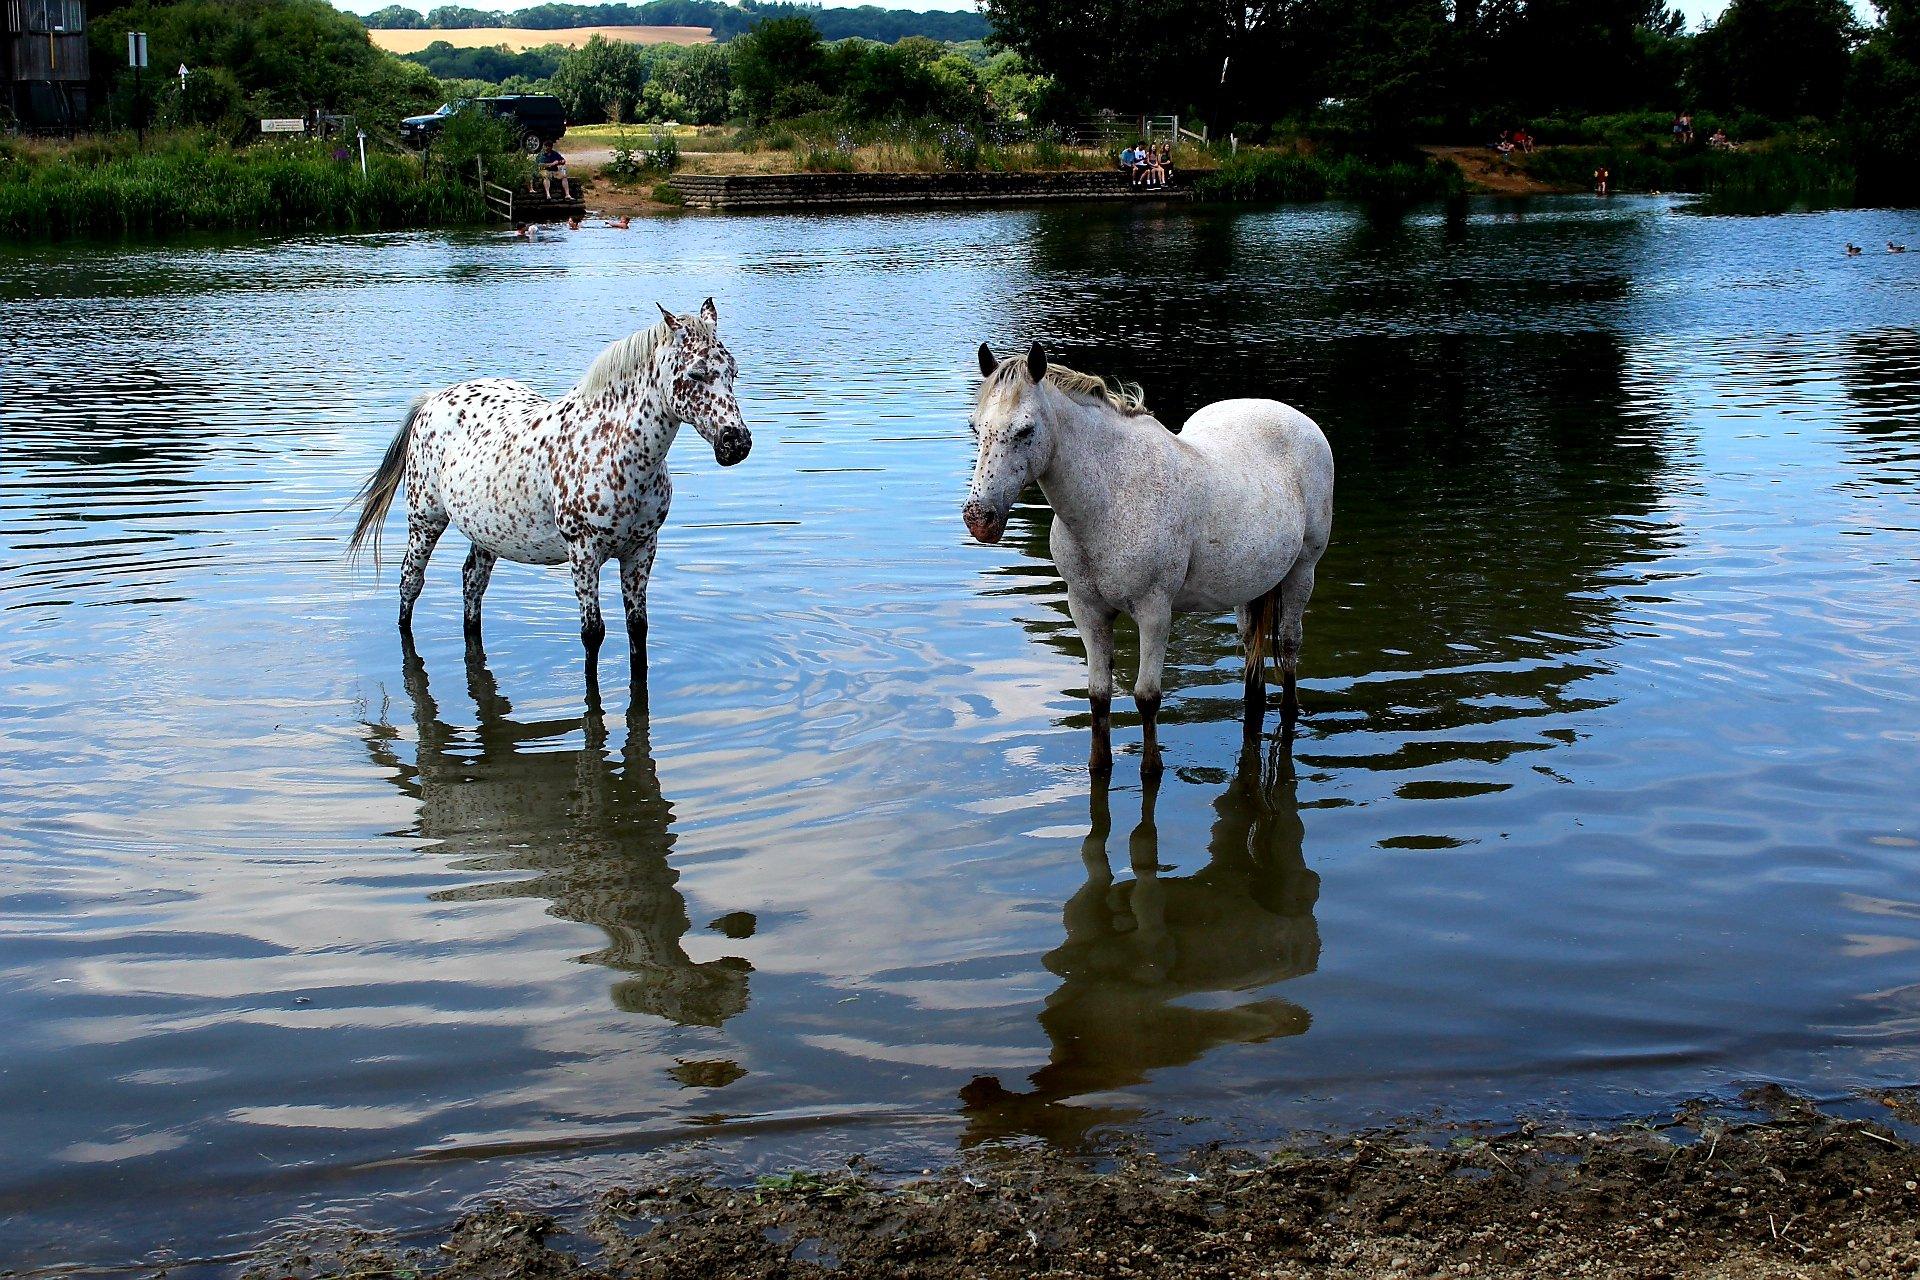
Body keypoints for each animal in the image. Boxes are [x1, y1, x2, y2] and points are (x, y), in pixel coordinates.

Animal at [349, 297, 744, 702]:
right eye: (695, 374)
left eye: (733, 371)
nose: (736, 442)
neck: (613, 449)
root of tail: (432, 400)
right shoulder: (584, 551)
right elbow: (593, 634)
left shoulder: (642, 549)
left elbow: (638, 628)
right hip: (425, 521)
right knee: (410, 582)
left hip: (485, 533)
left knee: (472, 584)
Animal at [960, 339, 1336, 775]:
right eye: (976, 427)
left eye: (1025, 430)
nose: (979, 518)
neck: (1111, 497)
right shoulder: (1086, 608)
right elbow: (1098, 696)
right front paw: (1099, 766)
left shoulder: (1155, 611)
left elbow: (1147, 698)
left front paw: (1152, 767)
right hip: (1252, 585)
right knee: (1251, 663)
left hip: (1302, 572)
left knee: (1289, 648)